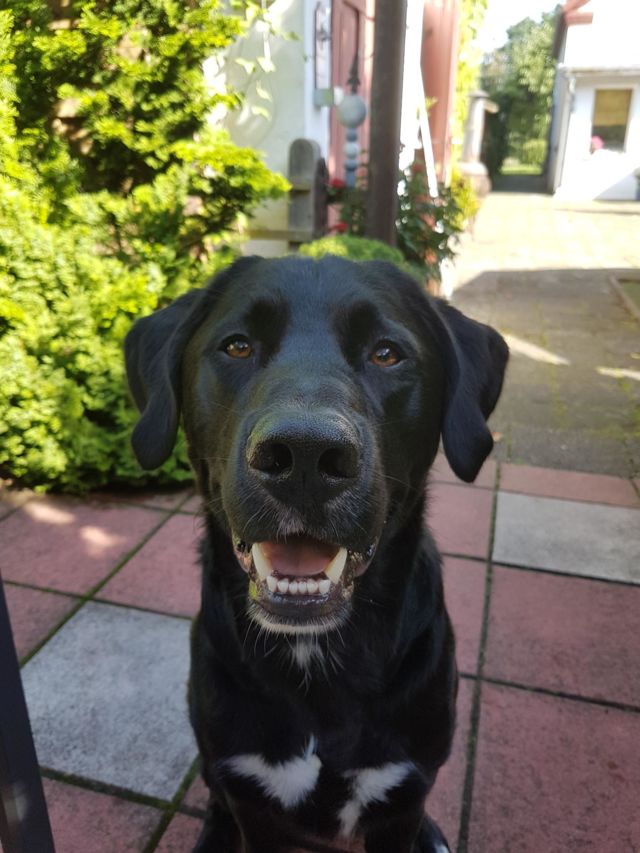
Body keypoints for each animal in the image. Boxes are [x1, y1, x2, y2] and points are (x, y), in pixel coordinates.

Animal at [125, 255, 508, 853]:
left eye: (387, 352)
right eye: (237, 346)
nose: (305, 455)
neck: (314, 660)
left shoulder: (404, 791)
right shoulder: (252, 799)